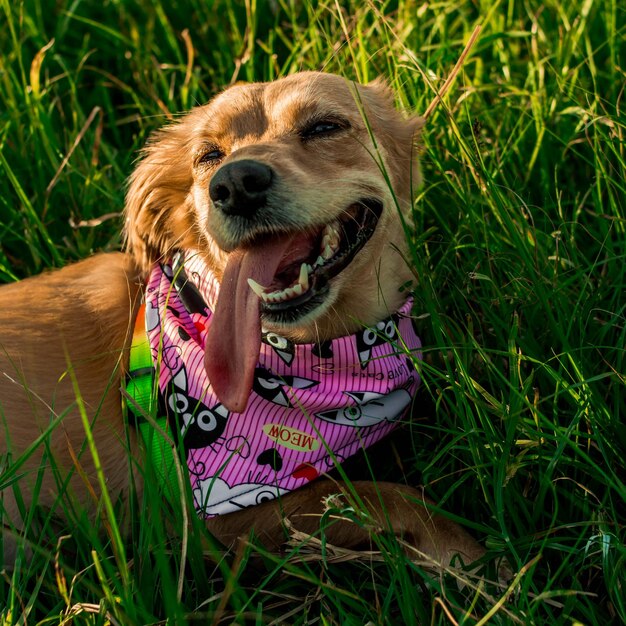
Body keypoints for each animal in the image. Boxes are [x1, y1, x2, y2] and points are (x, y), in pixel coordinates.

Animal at [0, 70, 486, 568]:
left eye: (324, 127)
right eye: (208, 156)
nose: (234, 184)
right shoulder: (221, 516)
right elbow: (385, 496)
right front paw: (468, 554)